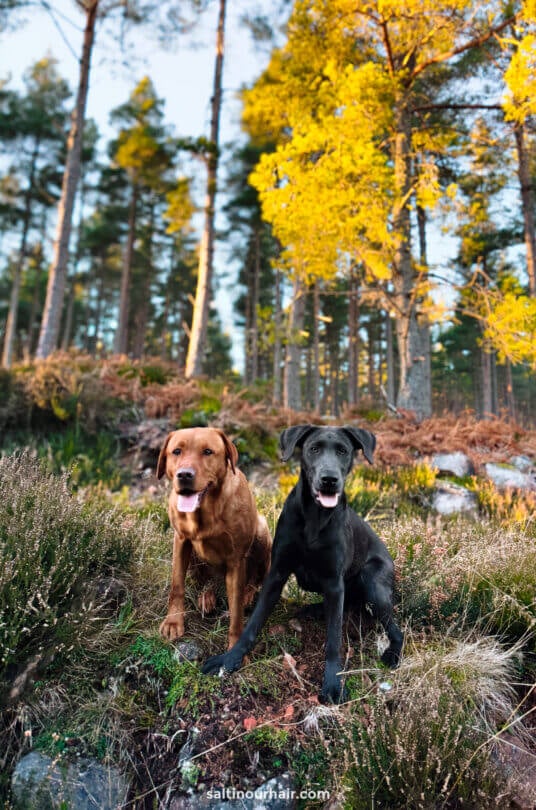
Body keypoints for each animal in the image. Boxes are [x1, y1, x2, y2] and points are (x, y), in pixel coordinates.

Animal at [156, 426, 272, 648]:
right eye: (176, 451)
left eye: (208, 452)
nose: (184, 475)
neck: (205, 511)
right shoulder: (180, 540)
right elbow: (177, 585)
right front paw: (174, 622)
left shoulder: (236, 560)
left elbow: (236, 612)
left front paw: (236, 648)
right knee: (206, 580)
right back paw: (207, 596)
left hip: (262, 532)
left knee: (257, 579)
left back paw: (248, 594)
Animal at [203, 422, 404, 700]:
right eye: (314, 449)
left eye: (343, 451)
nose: (329, 480)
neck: (315, 517)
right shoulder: (276, 574)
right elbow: (252, 624)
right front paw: (230, 660)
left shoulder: (334, 583)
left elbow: (334, 640)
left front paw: (332, 683)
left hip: (374, 585)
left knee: (395, 630)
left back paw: (392, 654)